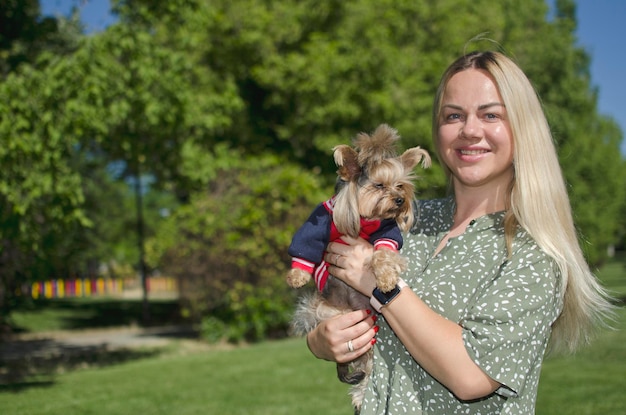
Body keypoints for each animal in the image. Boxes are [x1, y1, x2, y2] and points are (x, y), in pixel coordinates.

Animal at [286, 123, 428, 412]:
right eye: (379, 185)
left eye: (400, 185)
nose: (400, 200)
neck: (367, 219)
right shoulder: (320, 220)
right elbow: (306, 243)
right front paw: (297, 275)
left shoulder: (387, 232)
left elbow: (384, 253)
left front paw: (385, 280)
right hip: (326, 313)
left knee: (368, 365)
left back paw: (361, 396)